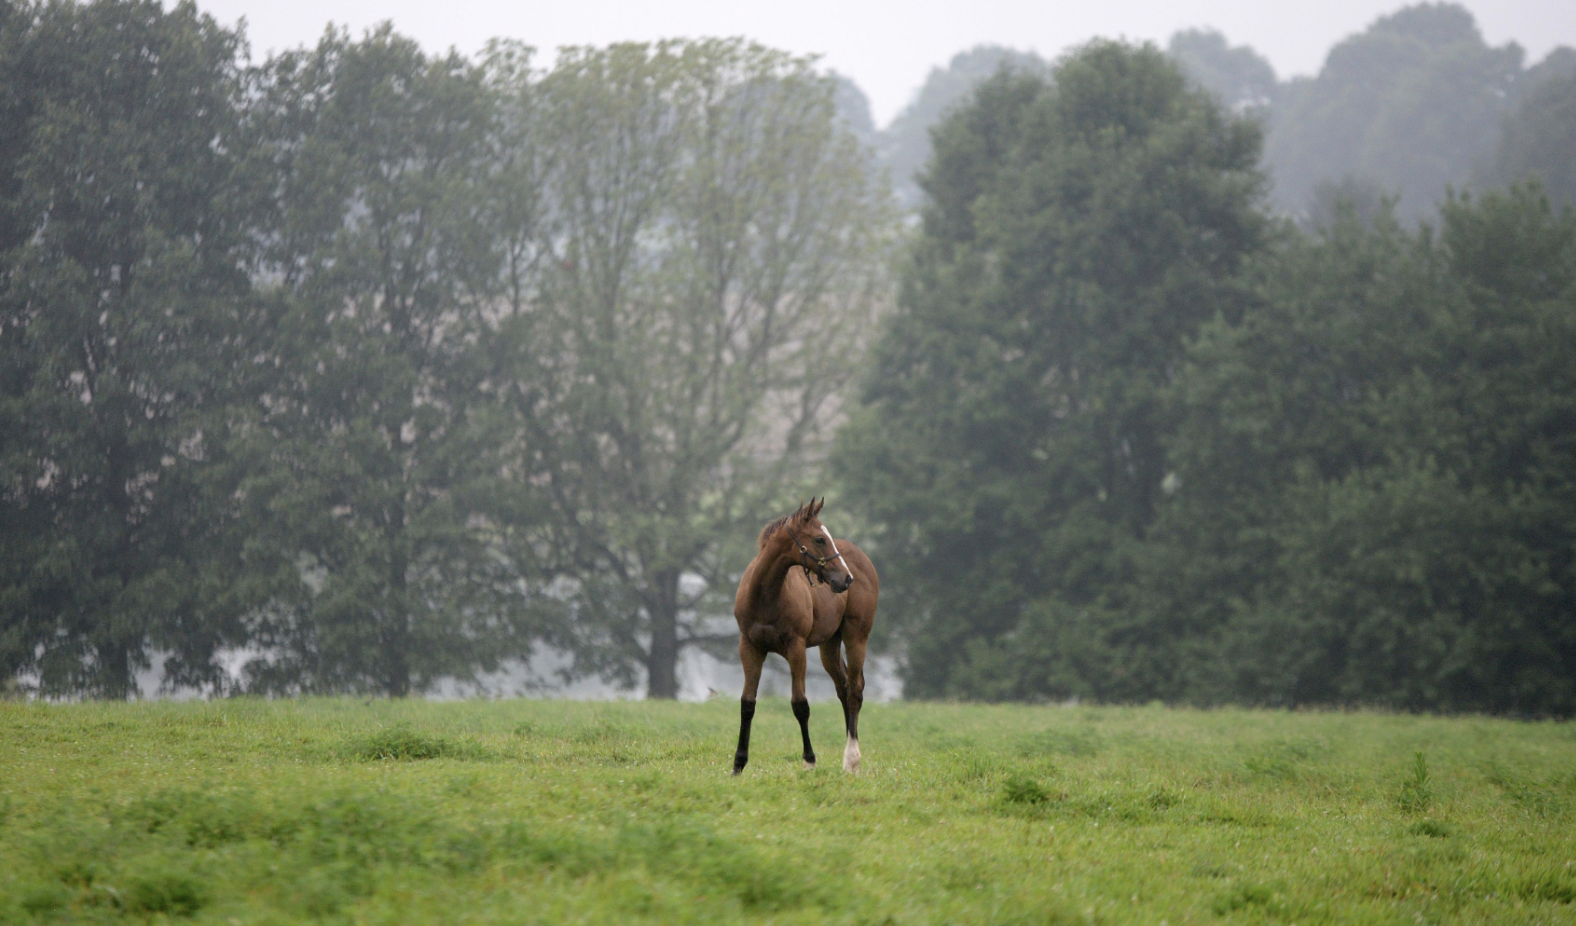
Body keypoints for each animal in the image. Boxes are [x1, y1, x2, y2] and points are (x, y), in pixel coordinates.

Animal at [731, 497, 882, 774]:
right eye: (819, 539)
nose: (846, 579)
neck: (767, 596)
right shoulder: (749, 647)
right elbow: (747, 703)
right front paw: (738, 764)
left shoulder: (796, 648)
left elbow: (800, 704)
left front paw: (809, 761)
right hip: (829, 645)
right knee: (843, 687)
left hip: (856, 636)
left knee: (855, 690)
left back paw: (852, 759)